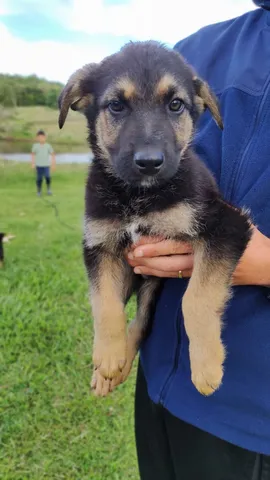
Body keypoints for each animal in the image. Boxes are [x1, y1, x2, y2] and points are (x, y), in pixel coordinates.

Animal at [57, 40, 253, 398]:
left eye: (175, 105)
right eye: (116, 105)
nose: (149, 163)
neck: (137, 197)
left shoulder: (227, 225)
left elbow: (196, 298)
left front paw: (206, 367)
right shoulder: (99, 245)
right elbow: (103, 302)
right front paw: (107, 356)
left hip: (154, 283)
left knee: (144, 321)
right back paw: (110, 369)